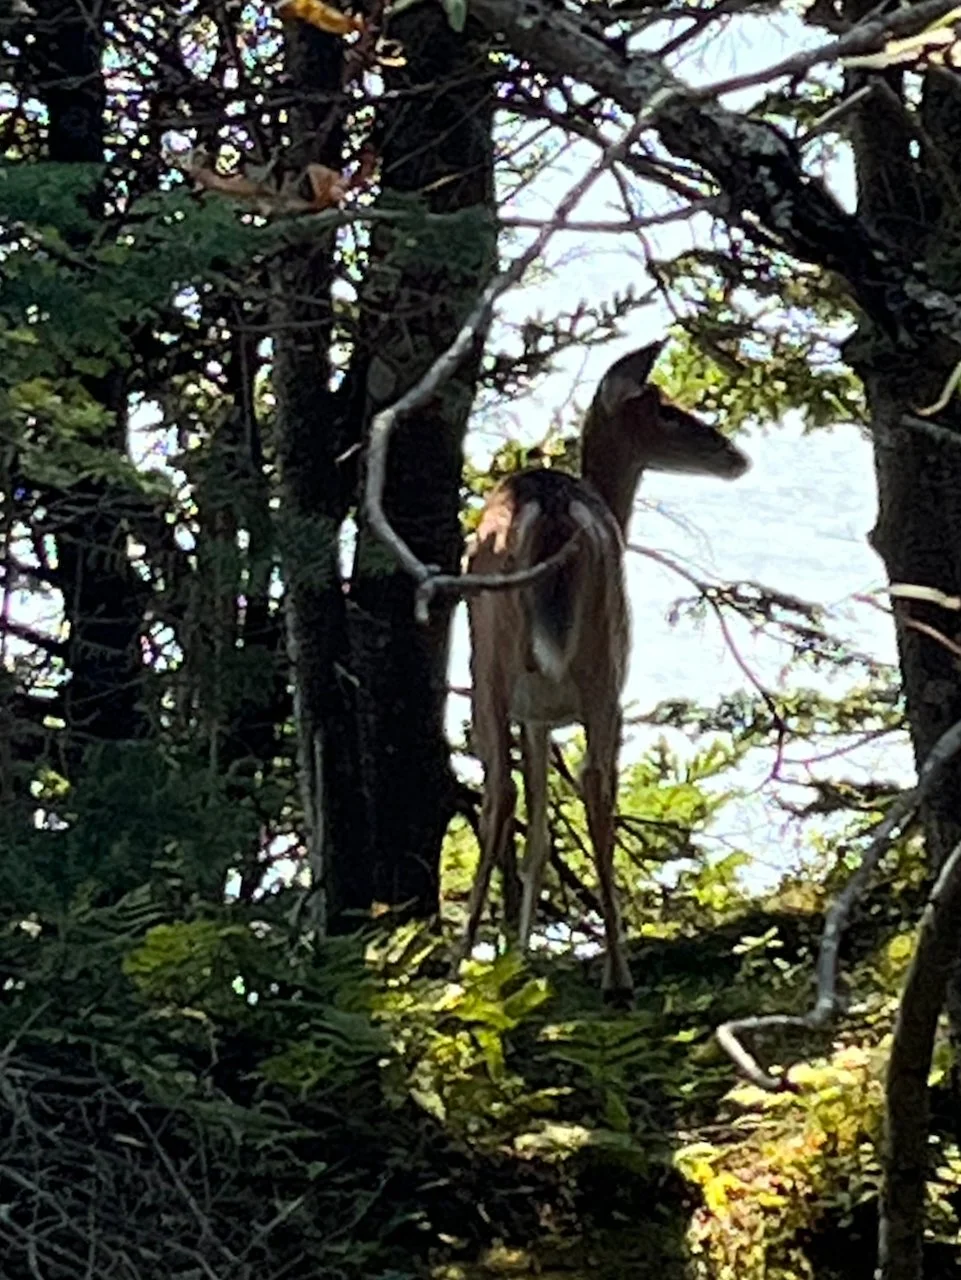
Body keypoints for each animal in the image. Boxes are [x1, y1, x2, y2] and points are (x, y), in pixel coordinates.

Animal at [458, 340, 752, 998]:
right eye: (666, 408)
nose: (735, 454)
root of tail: (552, 509)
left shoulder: (536, 713)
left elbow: (539, 829)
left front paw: (519, 953)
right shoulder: (556, 705)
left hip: (500, 662)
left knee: (507, 787)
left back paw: (466, 962)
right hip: (599, 661)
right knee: (587, 784)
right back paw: (615, 973)